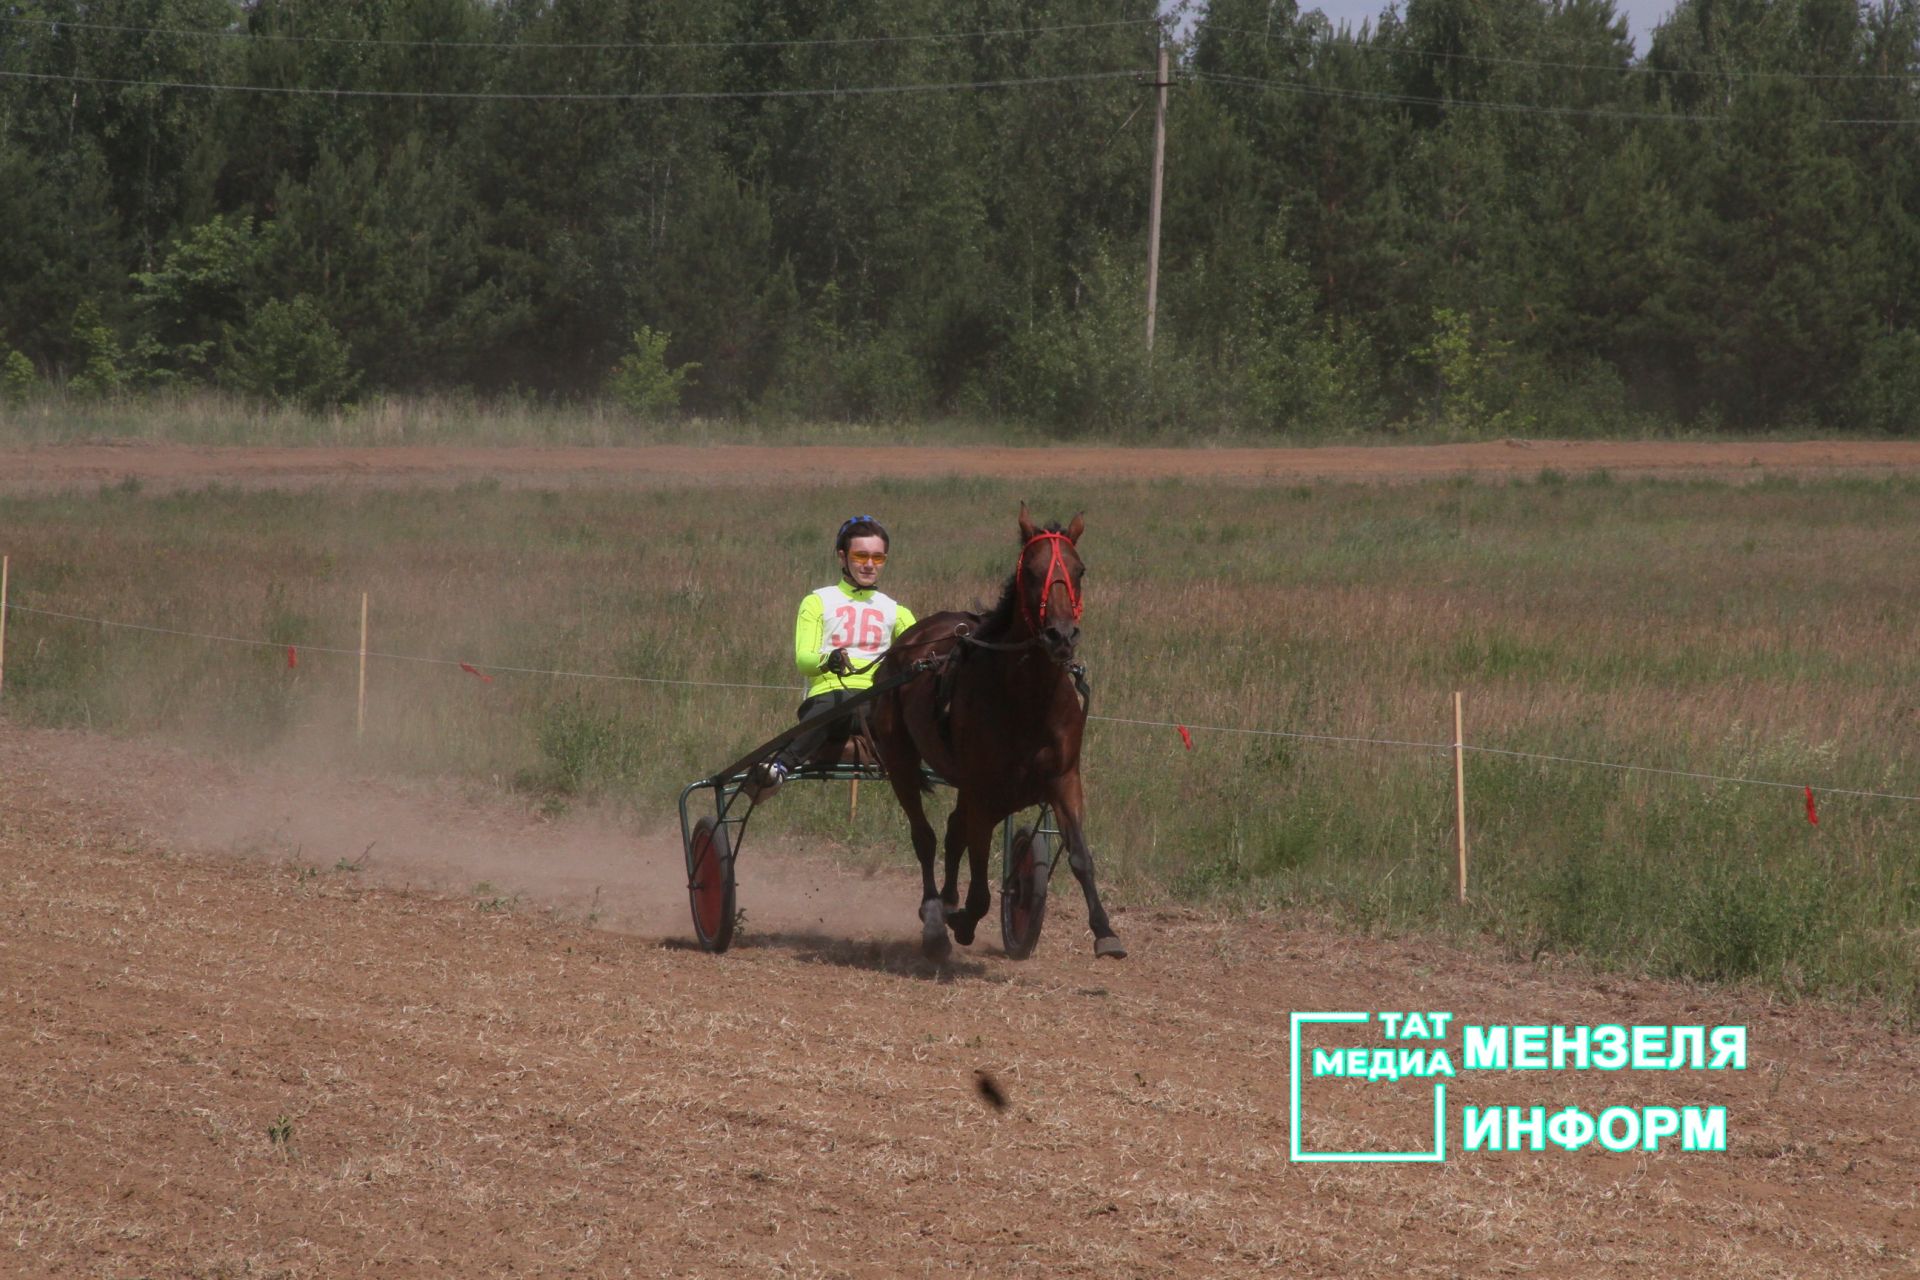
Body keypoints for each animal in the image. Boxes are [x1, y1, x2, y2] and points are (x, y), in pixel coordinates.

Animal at [871, 498, 1121, 959]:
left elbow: (1079, 856)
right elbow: (981, 884)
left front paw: (1104, 930)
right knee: (926, 836)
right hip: (900, 761)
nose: (1061, 635)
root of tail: (908, 641)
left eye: (1079, 570)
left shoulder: (1064, 779)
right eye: (1032, 571)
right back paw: (935, 916)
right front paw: (962, 920)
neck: (1026, 698)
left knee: (952, 832)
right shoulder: (985, 792)